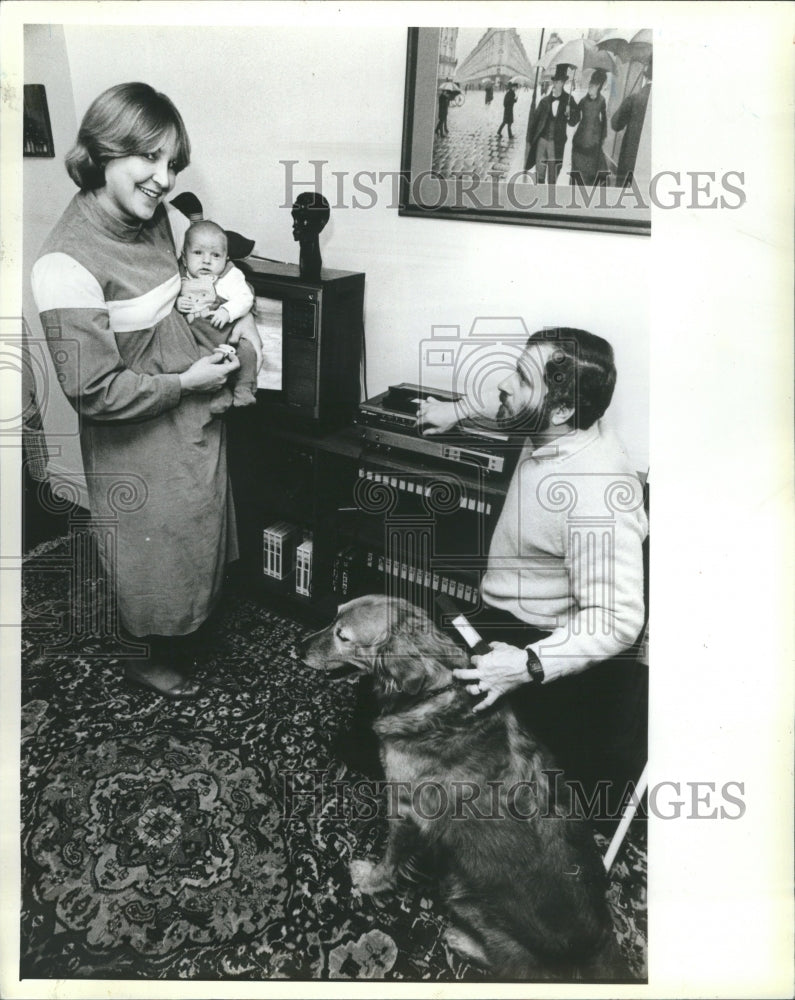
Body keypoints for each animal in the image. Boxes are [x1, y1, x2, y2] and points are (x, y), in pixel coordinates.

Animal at [302, 596, 632, 980]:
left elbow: (390, 859)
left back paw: (460, 940)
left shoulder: (406, 810)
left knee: (514, 966)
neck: (436, 691)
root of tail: (601, 941)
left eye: (342, 636)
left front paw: (369, 880)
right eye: (333, 618)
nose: (298, 647)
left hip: (463, 892)